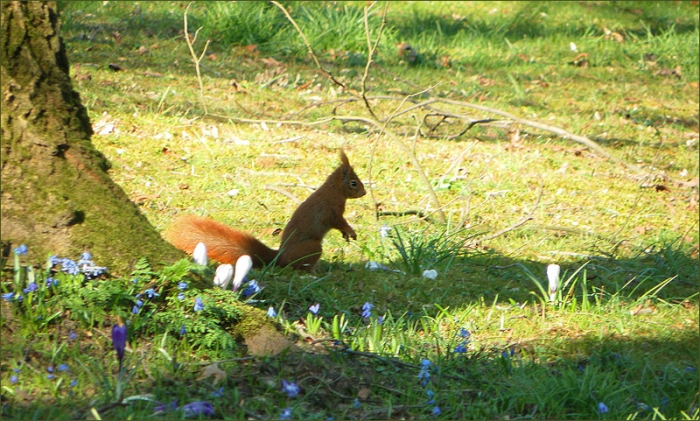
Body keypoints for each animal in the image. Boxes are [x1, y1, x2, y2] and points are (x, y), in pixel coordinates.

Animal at [164, 150, 366, 271]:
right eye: (353, 183)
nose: (364, 193)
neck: (334, 189)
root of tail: (279, 256)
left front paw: (347, 234)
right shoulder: (332, 209)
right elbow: (339, 221)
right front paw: (350, 231)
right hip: (312, 247)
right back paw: (311, 272)